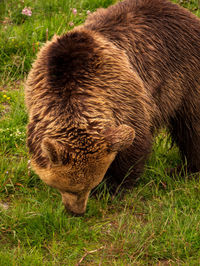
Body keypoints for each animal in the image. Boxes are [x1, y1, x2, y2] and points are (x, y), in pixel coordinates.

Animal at [25, 0, 200, 215]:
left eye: (88, 186)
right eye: (66, 187)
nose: (77, 211)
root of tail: (185, 12)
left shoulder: (124, 97)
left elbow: (133, 142)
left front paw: (113, 187)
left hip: (185, 76)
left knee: (191, 125)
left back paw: (185, 169)